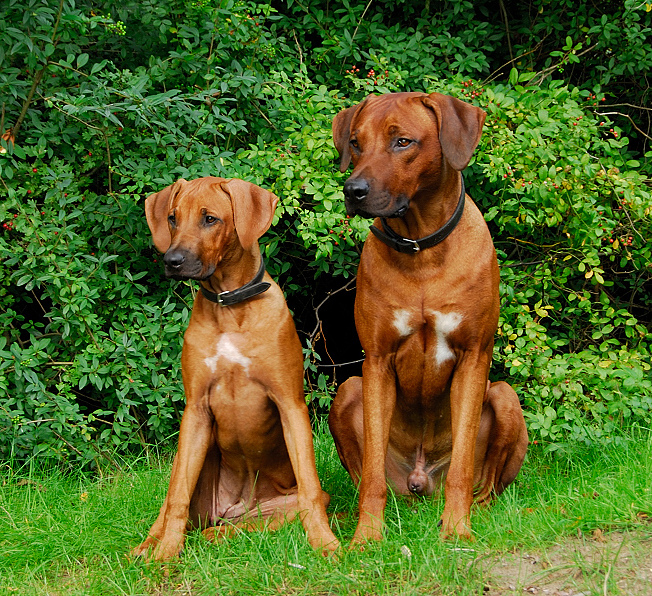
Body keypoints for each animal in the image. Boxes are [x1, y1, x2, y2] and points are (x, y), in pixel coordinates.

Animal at [131, 176, 338, 560]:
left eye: (210, 219)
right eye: (172, 218)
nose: (172, 260)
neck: (229, 306)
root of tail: (232, 509)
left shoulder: (290, 404)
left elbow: (310, 489)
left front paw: (326, 543)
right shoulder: (195, 410)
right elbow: (176, 498)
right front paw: (166, 553)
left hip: (268, 509)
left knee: (250, 526)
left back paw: (220, 535)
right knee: (172, 500)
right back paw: (149, 545)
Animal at [328, 91, 528, 544]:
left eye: (402, 141)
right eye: (356, 143)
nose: (353, 190)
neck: (421, 250)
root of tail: (421, 484)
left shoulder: (473, 355)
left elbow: (461, 469)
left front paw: (456, 529)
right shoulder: (377, 360)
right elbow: (371, 477)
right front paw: (367, 535)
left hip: (505, 398)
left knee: (486, 486)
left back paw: (474, 513)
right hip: (347, 391)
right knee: (370, 477)